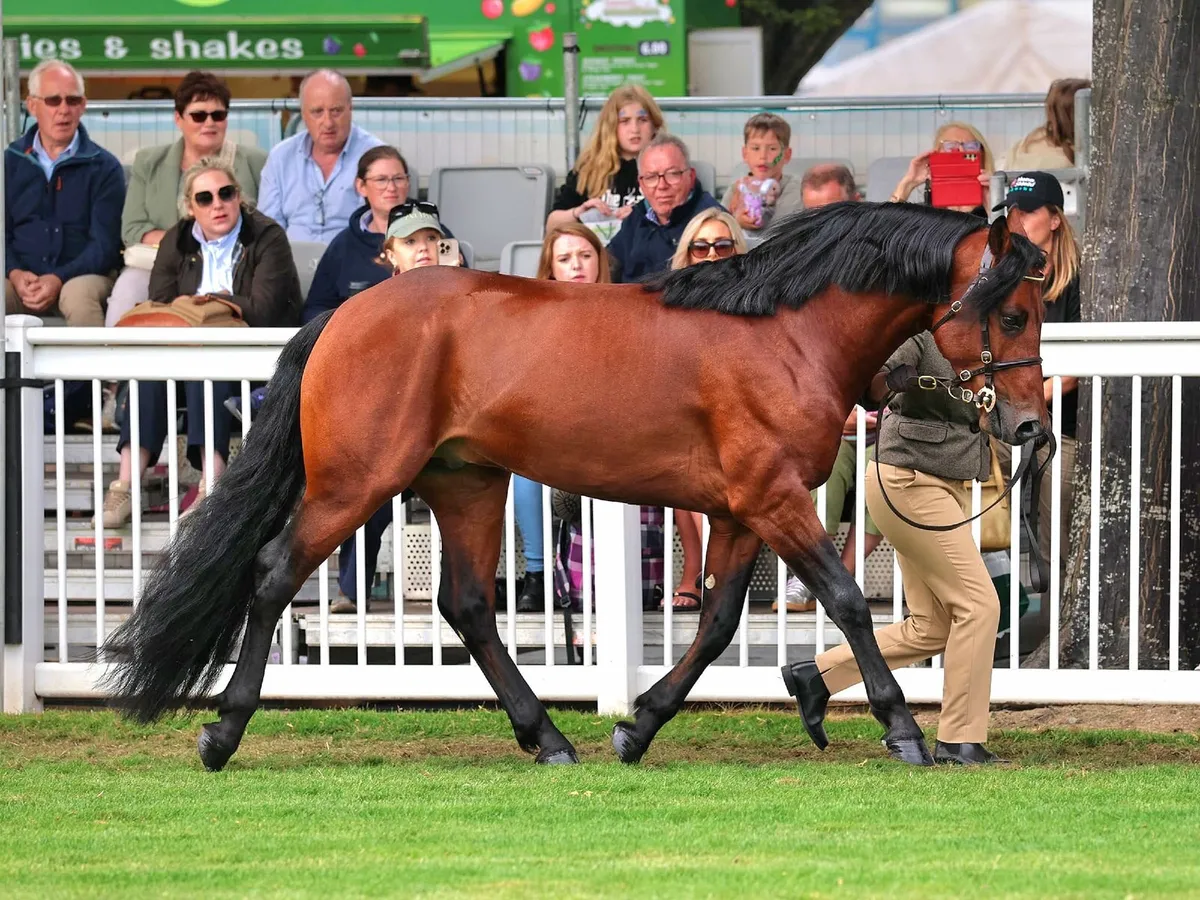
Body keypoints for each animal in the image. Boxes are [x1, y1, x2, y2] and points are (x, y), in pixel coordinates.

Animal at [101, 200, 1049, 772]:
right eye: (1010, 312)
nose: (1031, 426)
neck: (783, 334)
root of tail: (344, 314)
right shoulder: (774, 502)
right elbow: (848, 601)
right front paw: (904, 730)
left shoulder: (743, 511)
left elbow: (715, 624)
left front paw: (637, 725)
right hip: (357, 482)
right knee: (272, 575)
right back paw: (222, 732)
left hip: (467, 483)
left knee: (468, 606)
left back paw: (548, 736)